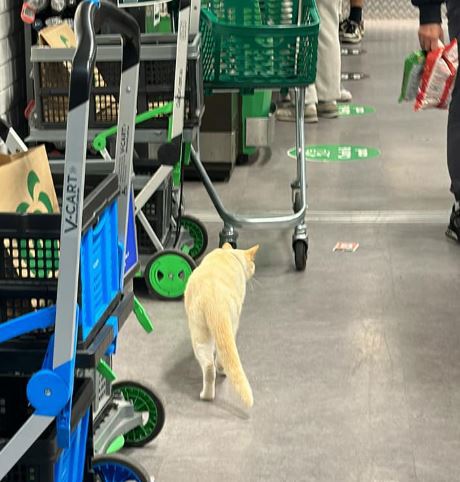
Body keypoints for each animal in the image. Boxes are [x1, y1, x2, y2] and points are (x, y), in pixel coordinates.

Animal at [185, 245, 260, 406]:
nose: (254, 268)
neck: (231, 253)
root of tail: (213, 300)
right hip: (230, 324)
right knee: (220, 357)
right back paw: (222, 370)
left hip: (199, 333)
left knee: (208, 366)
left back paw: (206, 396)